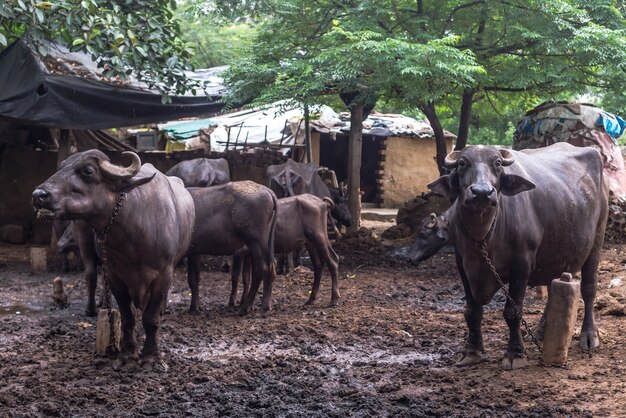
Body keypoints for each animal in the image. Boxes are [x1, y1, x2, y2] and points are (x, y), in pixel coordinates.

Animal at [31, 150, 193, 370]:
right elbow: (127, 317)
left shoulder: (164, 274)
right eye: (61, 167)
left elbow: (150, 318)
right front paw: (128, 355)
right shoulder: (115, 276)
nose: (38, 195)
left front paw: (151, 357)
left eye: (88, 171)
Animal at [184, 181, 274, 316]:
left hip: (255, 242)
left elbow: (192, 279)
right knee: (262, 270)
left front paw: (194, 307)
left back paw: (257, 307)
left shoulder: (192, 251)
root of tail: (265, 189)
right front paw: (196, 306)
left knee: (263, 270)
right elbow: (195, 277)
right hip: (260, 246)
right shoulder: (195, 252)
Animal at [426, 143, 608, 370]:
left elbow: (513, 312)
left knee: (589, 289)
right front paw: (472, 351)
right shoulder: (462, 265)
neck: (483, 238)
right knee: (552, 288)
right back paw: (541, 330)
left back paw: (589, 335)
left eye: (497, 163)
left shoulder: (522, 266)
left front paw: (515, 354)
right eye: (462, 163)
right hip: (555, 254)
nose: (482, 192)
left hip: (597, 241)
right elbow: (472, 312)